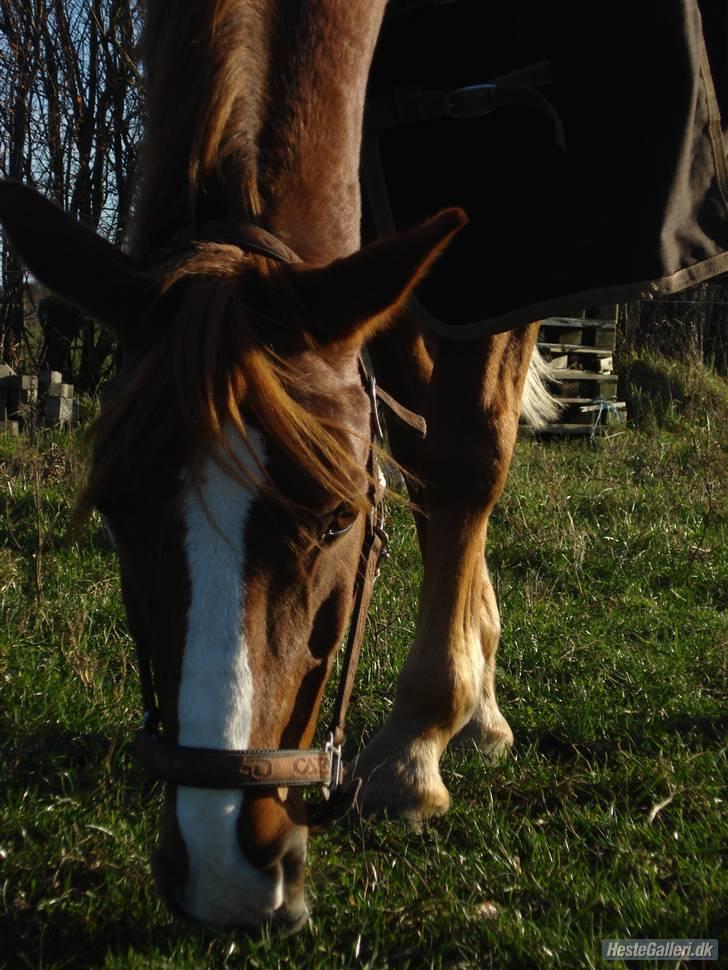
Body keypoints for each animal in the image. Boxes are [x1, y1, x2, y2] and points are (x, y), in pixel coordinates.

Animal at [0, 0, 560, 928]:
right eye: (116, 511)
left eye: (337, 518)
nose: (224, 869)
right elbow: (420, 452)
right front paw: (458, 705)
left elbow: (466, 457)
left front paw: (415, 750)